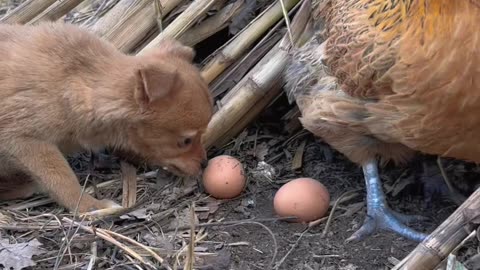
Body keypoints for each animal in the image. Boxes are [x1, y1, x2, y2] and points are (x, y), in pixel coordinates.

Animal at [0, 21, 212, 215]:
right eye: (185, 141)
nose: (205, 163)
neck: (74, 81)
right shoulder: (23, 141)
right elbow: (62, 179)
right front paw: (91, 206)